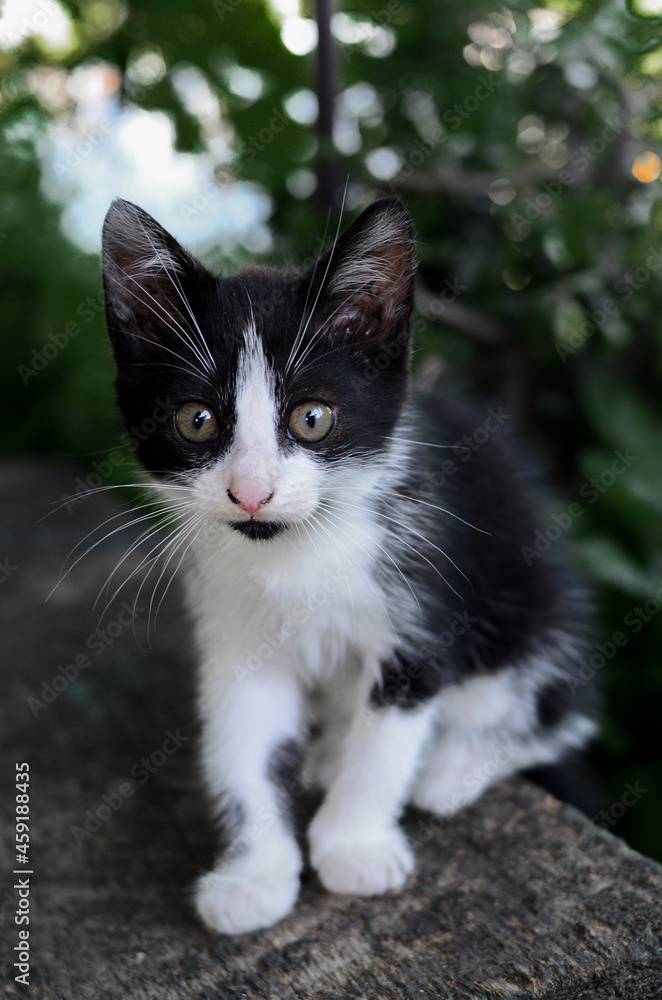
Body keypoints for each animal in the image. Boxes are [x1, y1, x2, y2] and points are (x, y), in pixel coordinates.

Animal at [101, 197, 600, 936]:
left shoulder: (421, 610)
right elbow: (241, 743)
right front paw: (256, 875)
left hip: (533, 605)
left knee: (551, 709)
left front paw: (353, 846)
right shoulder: (235, 634)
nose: (251, 492)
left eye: (313, 418)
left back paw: (450, 770)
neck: (295, 551)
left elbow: (386, 745)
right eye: (196, 420)